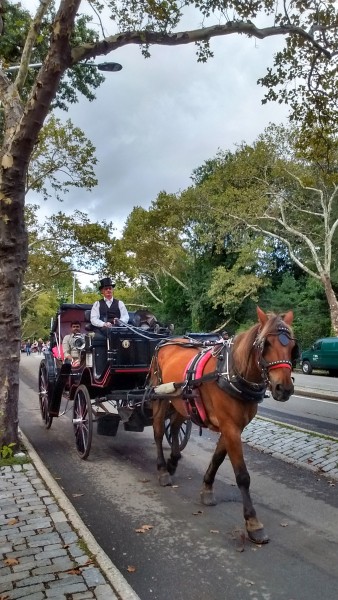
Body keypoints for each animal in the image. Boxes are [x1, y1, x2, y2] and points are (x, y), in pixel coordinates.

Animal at [149, 308, 298, 548]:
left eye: (292, 346)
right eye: (265, 344)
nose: (283, 388)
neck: (232, 372)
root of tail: (167, 341)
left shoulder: (234, 428)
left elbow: (218, 459)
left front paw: (207, 489)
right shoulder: (230, 427)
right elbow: (242, 476)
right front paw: (253, 523)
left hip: (182, 401)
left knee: (176, 427)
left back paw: (172, 462)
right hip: (160, 397)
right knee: (158, 431)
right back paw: (163, 470)